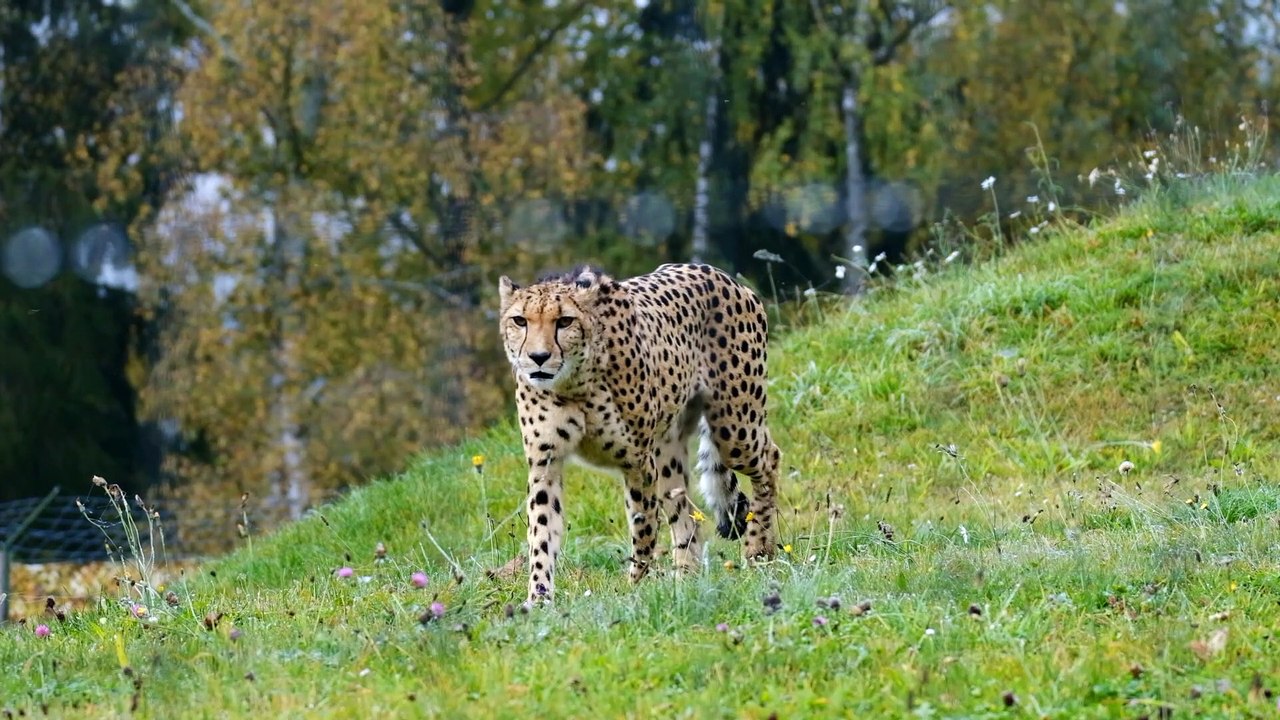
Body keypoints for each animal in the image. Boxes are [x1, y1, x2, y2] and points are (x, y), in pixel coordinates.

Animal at [497, 262, 781, 604]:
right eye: (520, 320)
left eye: (565, 321)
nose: (538, 358)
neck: (573, 384)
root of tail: (718, 273)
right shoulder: (545, 463)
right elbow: (541, 531)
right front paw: (539, 598)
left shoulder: (637, 463)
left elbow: (642, 526)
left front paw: (636, 587)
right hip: (669, 451)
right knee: (686, 514)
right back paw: (684, 578)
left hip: (734, 429)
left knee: (770, 458)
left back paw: (758, 549)